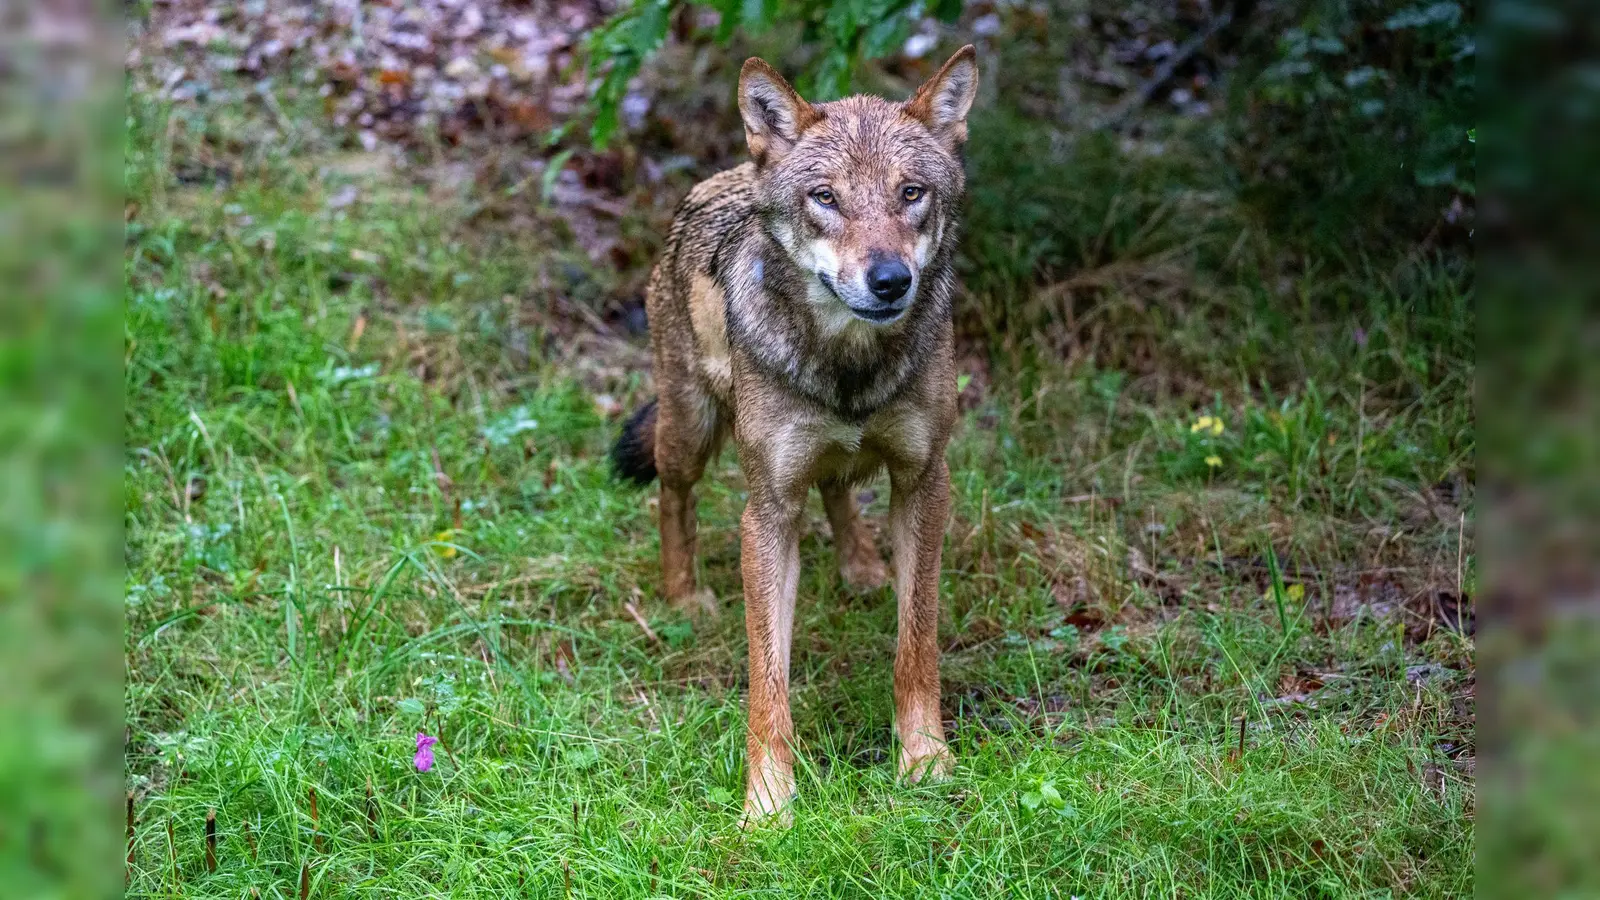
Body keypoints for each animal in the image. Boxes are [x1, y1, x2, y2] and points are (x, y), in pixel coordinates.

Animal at [612, 46, 979, 823]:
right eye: (825, 198)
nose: (890, 280)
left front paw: (925, 762)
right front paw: (768, 806)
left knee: (837, 486)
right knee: (672, 496)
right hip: (689, 432)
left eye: (910, 194)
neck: (848, 369)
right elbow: (767, 679)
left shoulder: (924, 482)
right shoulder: (769, 512)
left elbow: (917, 643)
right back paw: (684, 597)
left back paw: (863, 568)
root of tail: (723, 178)